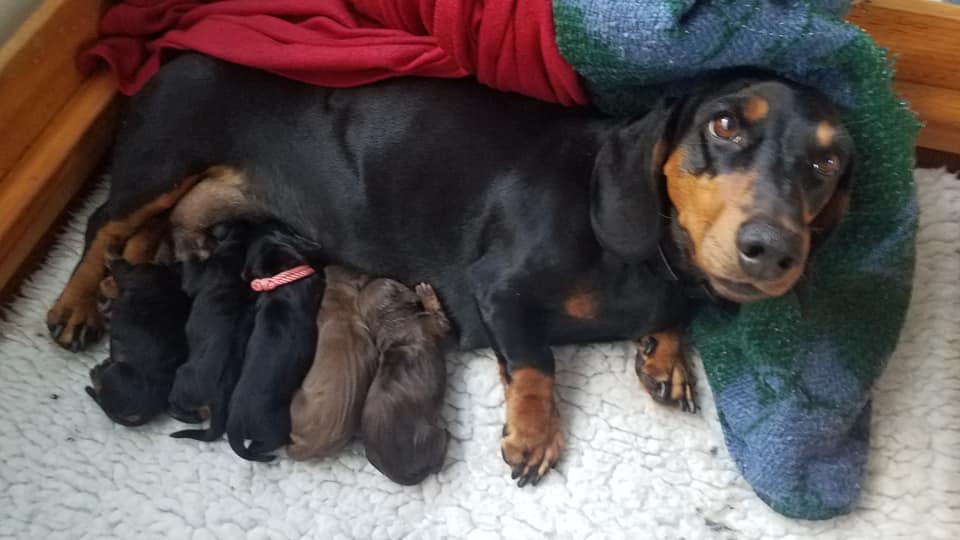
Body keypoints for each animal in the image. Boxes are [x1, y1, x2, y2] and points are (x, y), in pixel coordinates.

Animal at [360, 280, 454, 484]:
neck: (391, 322)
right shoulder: (432, 324)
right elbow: (442, 321)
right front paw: (426, 293)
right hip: (428, 435)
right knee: (438, 459)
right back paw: (447, 437)